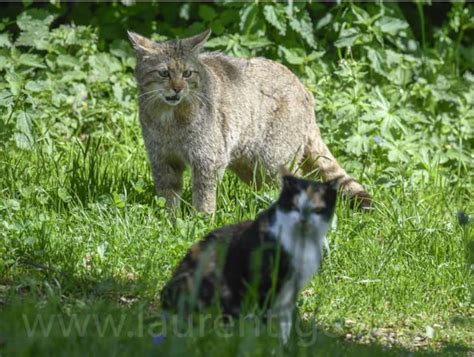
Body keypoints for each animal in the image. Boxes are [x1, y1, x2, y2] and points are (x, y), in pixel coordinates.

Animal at [129, 29, 370, 211]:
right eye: (164, 73)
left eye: (187, 74)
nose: (178, 88)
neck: (169, 120)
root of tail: (304, 88)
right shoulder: (162, 159)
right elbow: (168, 197)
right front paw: (170, 220)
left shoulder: (207, 160)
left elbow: (204, 196)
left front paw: (201, 219)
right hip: (252, 166)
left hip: (275, 158)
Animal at [160, 170, 336, 342]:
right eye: (294, 207)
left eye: (317, 210)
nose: (304, 220)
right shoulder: (265, 280)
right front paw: (264, 340)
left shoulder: (291, 290)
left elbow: (284, 322)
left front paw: (283, 344)